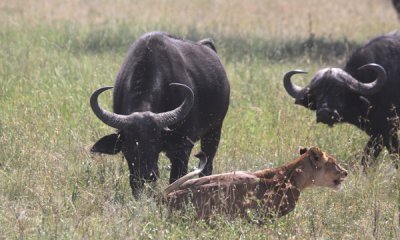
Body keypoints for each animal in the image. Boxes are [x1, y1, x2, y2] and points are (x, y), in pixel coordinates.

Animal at [89, 31, 230, 196]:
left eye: (155, 141)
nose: (147, 174)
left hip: (214, 131)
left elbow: (176, 179)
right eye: (128, 145)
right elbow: (134, 184)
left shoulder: (182, 150)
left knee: (207, 166)